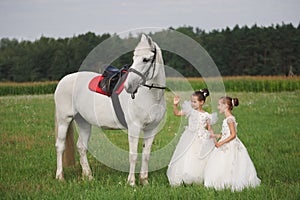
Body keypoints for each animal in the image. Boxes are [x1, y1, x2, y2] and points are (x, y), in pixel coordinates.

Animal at [54, 34, 166, 186]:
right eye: (134, 58)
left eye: (146, 59)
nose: (129, 86)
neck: (151, 95)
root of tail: (63, 80)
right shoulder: (134, 127)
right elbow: (133, 155)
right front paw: (131, 182)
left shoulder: (151, 129)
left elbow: (146, 155)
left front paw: (144, 181)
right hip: (64, 119)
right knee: (60, 146)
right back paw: (60, 177)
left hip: (83, 122)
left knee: (81, 147)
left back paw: (88, 176)